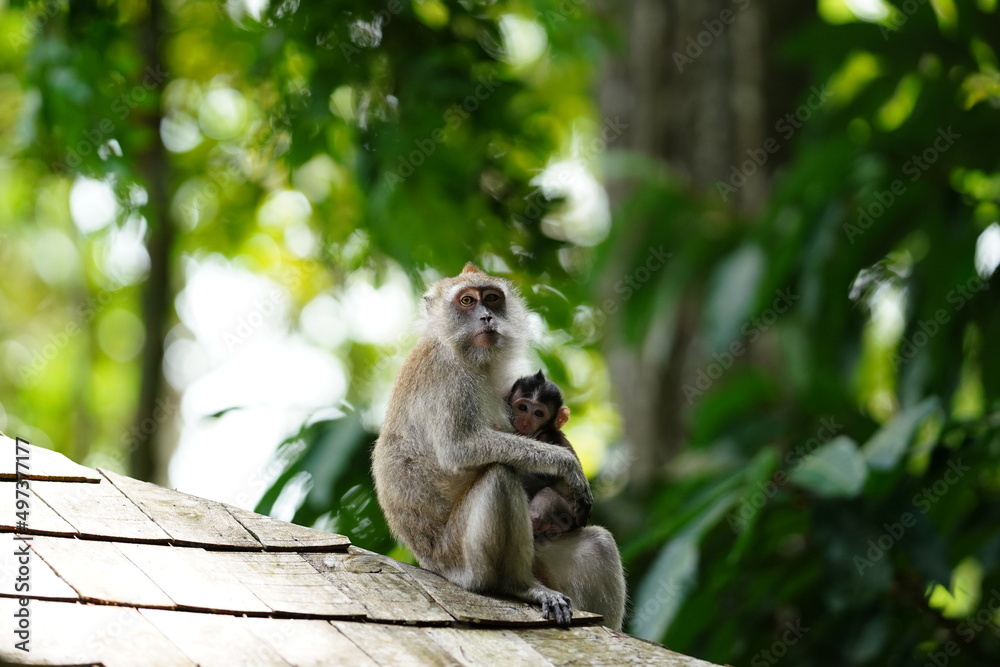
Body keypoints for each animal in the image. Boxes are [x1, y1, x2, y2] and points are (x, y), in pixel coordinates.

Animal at [508, 374, 584, 540]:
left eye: (539, 413)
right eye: (522, 408)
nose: (524, 423)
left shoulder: (547, 438)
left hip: (567, 514)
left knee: (547, 493)